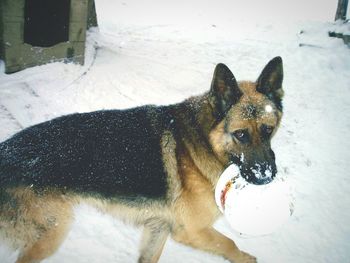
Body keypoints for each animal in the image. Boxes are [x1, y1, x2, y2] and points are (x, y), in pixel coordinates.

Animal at [0, 56, 284, 262]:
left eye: (268, 130)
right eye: (240, 134)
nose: (267, 176)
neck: (203, 139)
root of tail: (5, 151)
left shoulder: (159, 228)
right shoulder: (192, 230)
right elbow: (229, 242)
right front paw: (246, 258)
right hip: (52, 232)